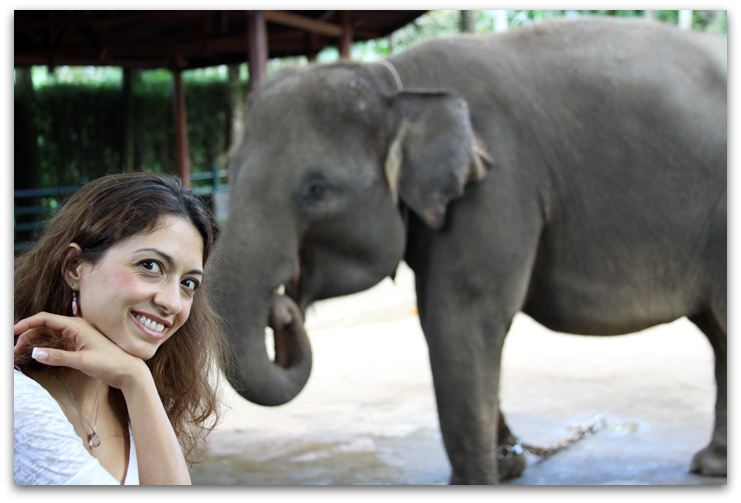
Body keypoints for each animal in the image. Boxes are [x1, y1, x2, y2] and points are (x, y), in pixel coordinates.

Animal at [211, 17, 724, 486]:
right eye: (229, 173)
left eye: (316, 190)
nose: (283, 308)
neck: (396, 83)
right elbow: (452, 322)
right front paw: (509, 466)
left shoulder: (499, 182)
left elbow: (460, 317)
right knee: (716, 329)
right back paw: (714, 463)